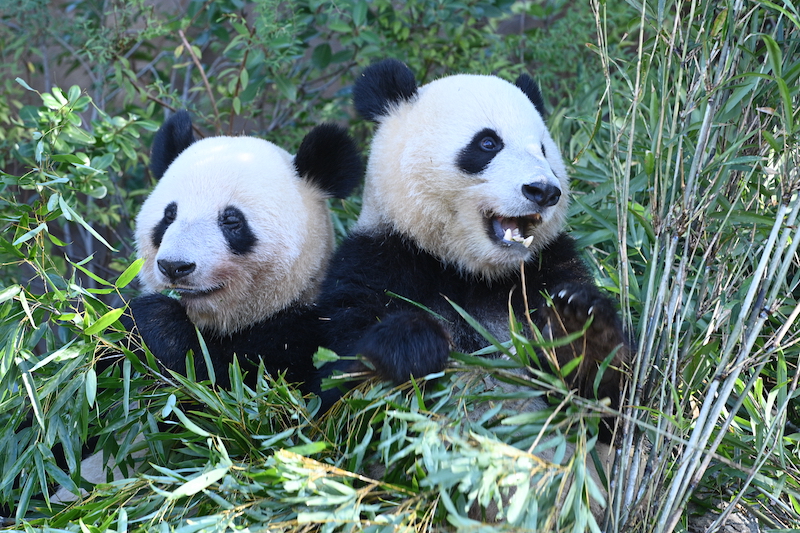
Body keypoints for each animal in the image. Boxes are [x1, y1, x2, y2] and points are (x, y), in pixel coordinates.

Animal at [129, 109, 362, 390]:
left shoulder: (306, 337)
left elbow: (230, 379)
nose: (174, 266)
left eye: (231, 220)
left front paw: (155, 319)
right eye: (169, 215)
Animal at [316, 58, 636, 414]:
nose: (543, 191)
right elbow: (338, 387)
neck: (472, 271)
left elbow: (605, 391)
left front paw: (577, 324)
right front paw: (413, 342)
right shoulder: (378, 261)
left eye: (543, 150)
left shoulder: (546, 268)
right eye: (488, 143)